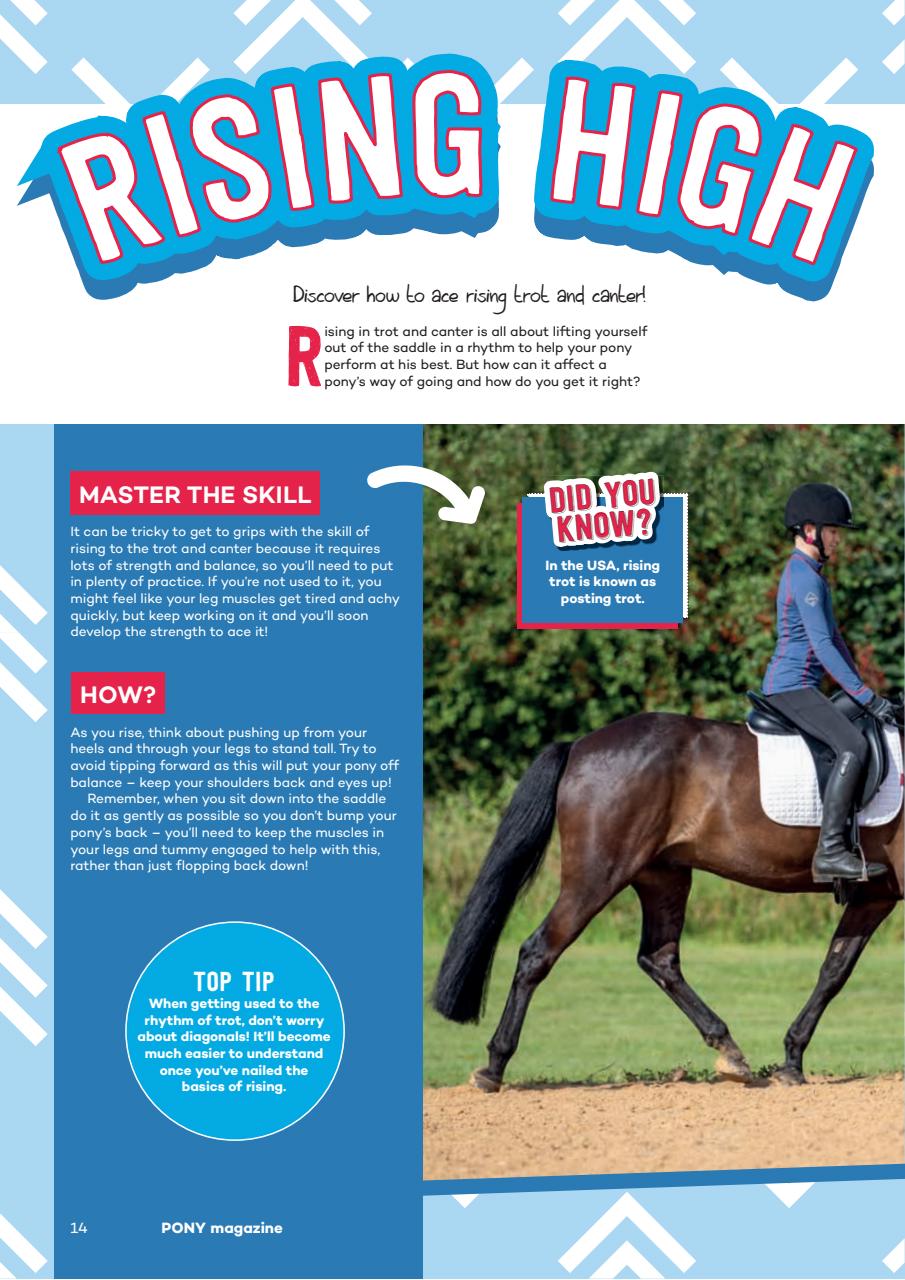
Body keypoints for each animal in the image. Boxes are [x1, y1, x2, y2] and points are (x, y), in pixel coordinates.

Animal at [431, 711, 904, 1092]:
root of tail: (579, 747)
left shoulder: (875, 896)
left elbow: (834, 971)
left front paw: (792, 1059)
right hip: (596, 877)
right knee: (538, 953)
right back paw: (494, 1067)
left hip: (663, 878)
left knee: (659, 959)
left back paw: (730, 1051)